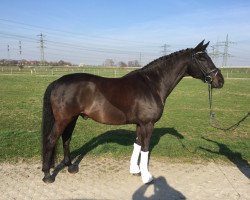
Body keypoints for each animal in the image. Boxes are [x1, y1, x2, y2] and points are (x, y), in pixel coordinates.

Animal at [41, 39, 225, 184]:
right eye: (202, 58)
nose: (220, 81)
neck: (152, 85)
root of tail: (57, 82)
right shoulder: (148, 124)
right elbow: (145, 148)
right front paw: (147, 177)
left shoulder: (139, 124)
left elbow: (137, 144)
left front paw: (135, 170)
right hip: (63, 119)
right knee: (51, 140)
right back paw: (47, 175)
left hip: (72, 118)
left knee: (66, 139)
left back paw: (70, 167)